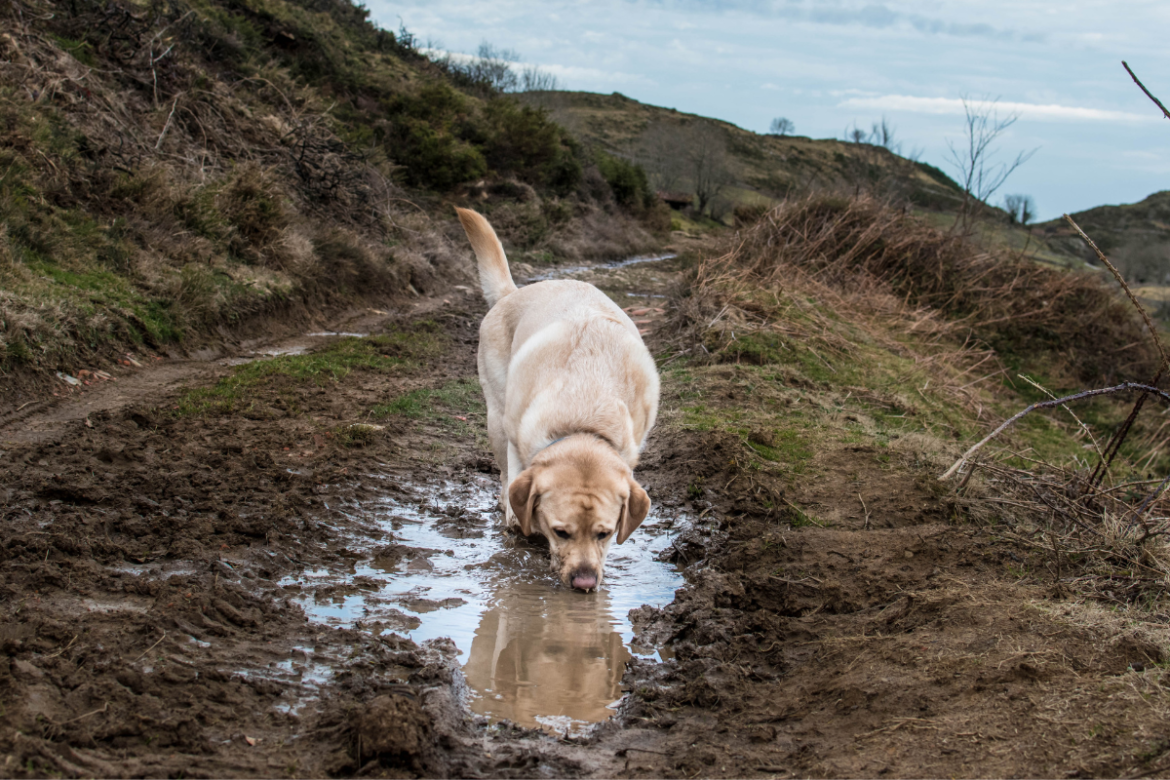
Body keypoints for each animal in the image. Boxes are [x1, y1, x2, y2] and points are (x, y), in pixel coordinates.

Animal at [456, 206, 659, 591]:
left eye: (605, 534)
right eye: (560, 532)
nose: (584, 583)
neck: (583, 415)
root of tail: (512, 293)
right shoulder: (518, 441)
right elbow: (518, 499)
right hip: (496, 420)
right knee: (502, 473)